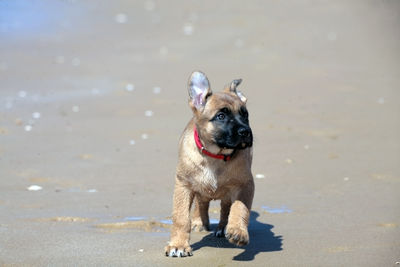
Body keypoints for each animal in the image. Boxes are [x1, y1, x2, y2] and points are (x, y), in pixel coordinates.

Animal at [165, 70, 253, 258]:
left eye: (245, 115)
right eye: (221, 116)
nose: (246, 132)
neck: (216, 155)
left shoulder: (245, 184)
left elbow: (240, 208)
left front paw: (238, 231)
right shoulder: (183, 185)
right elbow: (181, 217)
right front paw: (178, 245)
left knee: (225, 206)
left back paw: (223, 227)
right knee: (201, 202)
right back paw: (199, 221)